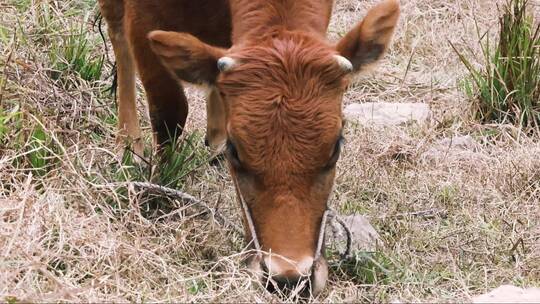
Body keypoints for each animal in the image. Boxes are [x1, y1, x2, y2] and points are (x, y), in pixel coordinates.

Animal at [99, 0, 398, 296]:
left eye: (336, 147)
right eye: (236, 151)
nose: (289, 279)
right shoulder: (142, 16)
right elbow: (169, 110)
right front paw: (158, 186)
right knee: (117, 34)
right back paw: (128, 145)